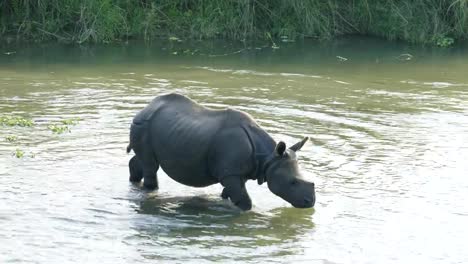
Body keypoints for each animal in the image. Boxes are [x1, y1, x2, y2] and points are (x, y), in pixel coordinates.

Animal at [126, 93, 316, 210]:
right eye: (292, 182)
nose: (311, 202)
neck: (268, 158)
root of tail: (145, 107)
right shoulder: (231, 173)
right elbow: (244, 201)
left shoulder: (235, 172)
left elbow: (228, 194)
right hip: (143, 124)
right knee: (151, 166)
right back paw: (150, 192)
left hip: (149, 125)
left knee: (143, 160)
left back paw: (135, 184)